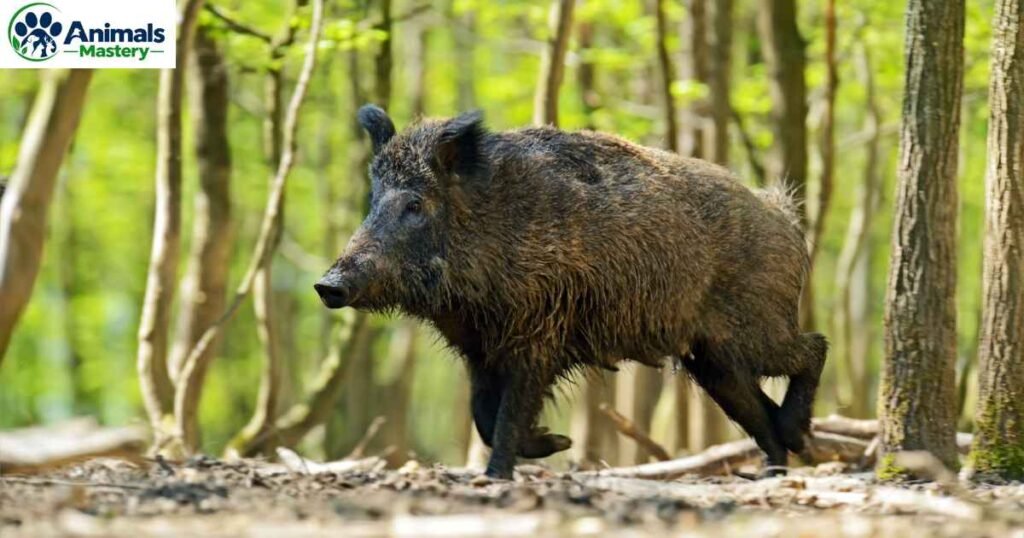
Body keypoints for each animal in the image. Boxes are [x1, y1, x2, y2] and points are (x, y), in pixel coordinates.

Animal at [316, 105, 828, 479]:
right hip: (713, 359)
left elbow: (507, 414)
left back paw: (794, 441)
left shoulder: (539, 335)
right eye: (372, 200)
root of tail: (784, 215)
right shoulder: (480, 349)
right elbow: (482, 414)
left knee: (813, 347)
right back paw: (774, 467)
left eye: (415, 204)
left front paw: (501, 475)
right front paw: (554, 444)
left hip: (754, 329)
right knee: (756, 408)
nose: (327, 285)